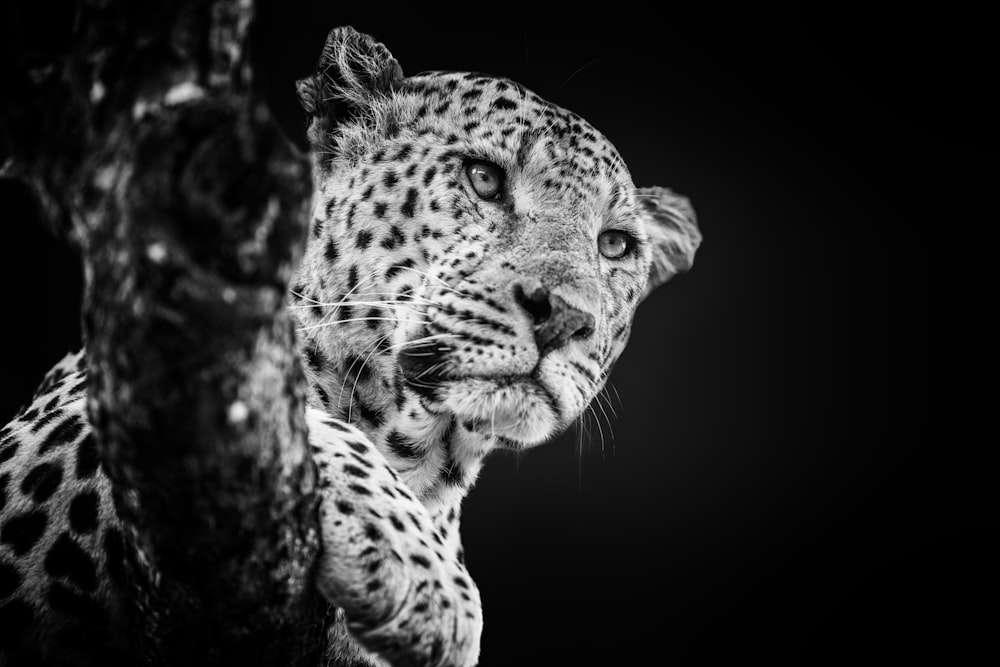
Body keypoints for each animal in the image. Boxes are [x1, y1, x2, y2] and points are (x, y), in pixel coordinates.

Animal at [0, 24, 700, 667]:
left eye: (615, 245)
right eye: (483, 178)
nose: (564, 318)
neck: (424, 459)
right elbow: (288, 416)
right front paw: (427, 581)